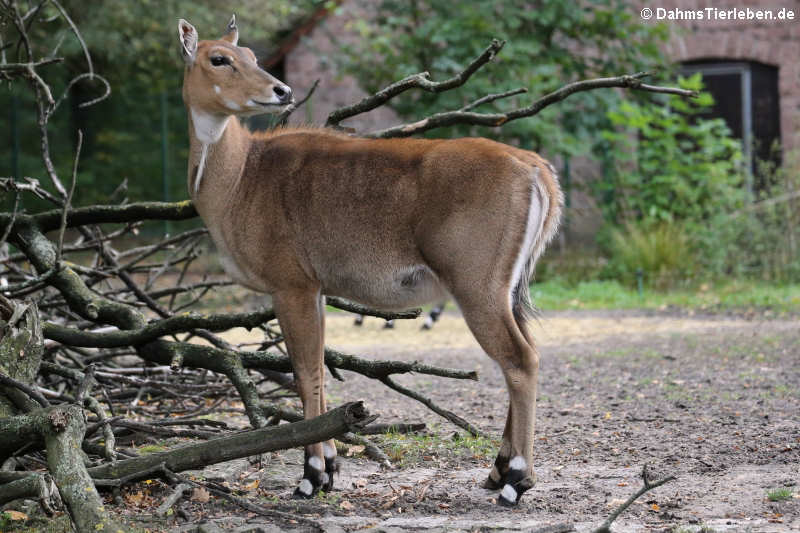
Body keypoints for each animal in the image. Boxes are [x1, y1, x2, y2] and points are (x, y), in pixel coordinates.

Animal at [178, 16, 564, 504]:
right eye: (221, 58)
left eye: (249, 56)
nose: (281, 90)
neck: (241, 175)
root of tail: (536, 169)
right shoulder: (315, 289)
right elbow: (319, 368)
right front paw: (329, 468)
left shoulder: (291, 285)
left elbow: (306, 372)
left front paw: (313, 476)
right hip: (507, 289)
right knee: (525, 352)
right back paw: (496, 472)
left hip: (477, 285)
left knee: (520, 361)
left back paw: (515, 481)